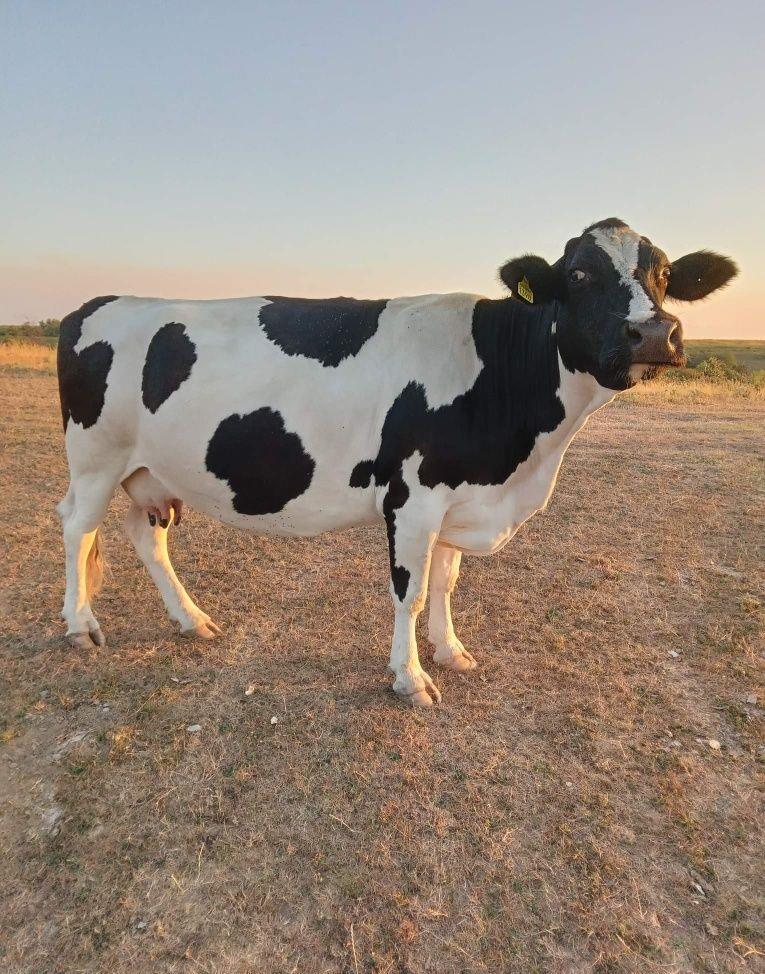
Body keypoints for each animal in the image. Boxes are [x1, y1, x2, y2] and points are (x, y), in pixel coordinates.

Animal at [56, 218, 737, 706]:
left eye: (665, 271)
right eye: (577, 273)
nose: (657, 333)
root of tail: (95, 303)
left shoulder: (461, 494)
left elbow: (446, 580)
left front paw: (451, 650)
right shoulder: (413, 496)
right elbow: (408, 590)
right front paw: (410, 679)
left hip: (149, 471)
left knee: (144, 536)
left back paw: (191, 619)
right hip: (95, 458)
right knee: (76, 526)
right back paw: (80, 626)